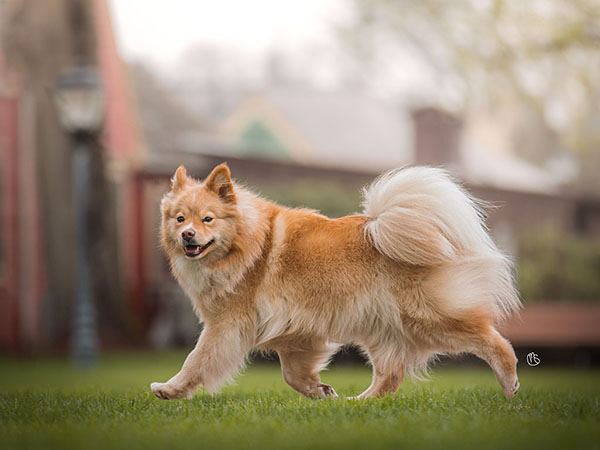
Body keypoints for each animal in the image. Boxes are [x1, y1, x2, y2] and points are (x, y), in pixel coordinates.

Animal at [150, 163, 520, 400]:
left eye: (207, 219)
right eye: (179, 218)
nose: (187, 235)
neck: (246, 245)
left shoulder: (226, 327)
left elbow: (197, 361)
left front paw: (170, 389)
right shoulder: (297, 336)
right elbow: (293, 374)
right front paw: (321, 392)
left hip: (425, 318)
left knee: (492, 339)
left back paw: (509, 382)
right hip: (381, 328)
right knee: (390, 375)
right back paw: (361, 403)